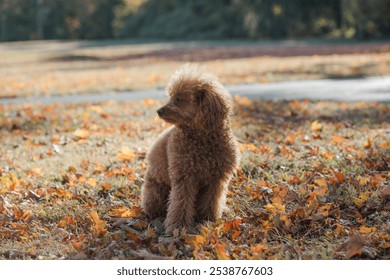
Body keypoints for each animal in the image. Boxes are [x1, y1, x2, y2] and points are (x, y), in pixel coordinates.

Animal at [139, 64, 238, 234]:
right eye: (171, 96)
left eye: (179, 99)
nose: (159, 111)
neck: (202, 138)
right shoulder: (184, 177)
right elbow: (181, 203)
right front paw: (178, 226)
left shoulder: (216, 178)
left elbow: (212, 200)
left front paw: (208, 218)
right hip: (156, 191)